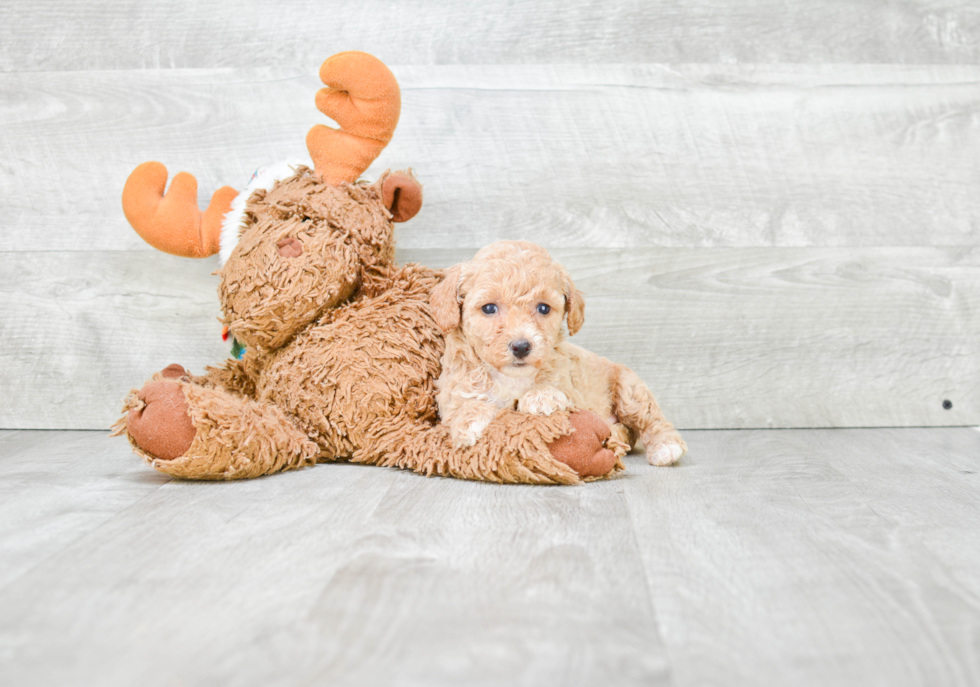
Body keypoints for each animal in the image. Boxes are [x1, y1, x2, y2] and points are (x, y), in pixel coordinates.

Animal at [428, 241, 688, 468]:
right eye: (489, 308)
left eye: (543, 308)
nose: (521, 346)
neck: (511, 377)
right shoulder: (453, 389)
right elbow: (463, 403)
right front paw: (469, 420)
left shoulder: (573, 391)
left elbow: (554, 391)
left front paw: (541, 397)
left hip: (629, 389)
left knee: (651, 419)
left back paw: (665, 446)